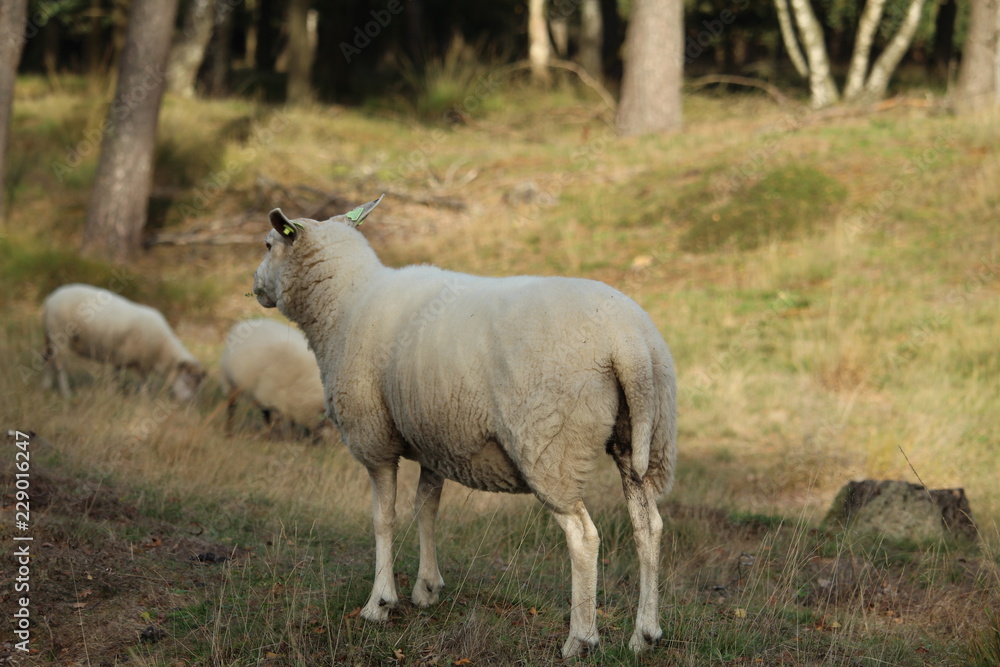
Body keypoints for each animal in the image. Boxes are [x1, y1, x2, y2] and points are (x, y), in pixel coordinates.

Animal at [42, 283, 204, 400]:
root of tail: (50, 299)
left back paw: (46, 386)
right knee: (59, 366)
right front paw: (116, 395)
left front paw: (140, 397)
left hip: (50, 337)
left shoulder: (136, 361)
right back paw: (66, 393)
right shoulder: (125, 358)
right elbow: (124, 379)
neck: (163, 349)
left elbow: (139, 380)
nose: (189, 401)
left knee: (48, 360)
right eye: (188, 380)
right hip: (60, 336)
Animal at [251, 197, 677, 657]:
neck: (345, 304)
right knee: (648, 526)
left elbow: (384, 518)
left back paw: (580, 638)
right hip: (645, 436)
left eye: (269, 244)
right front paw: (427, 587)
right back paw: (644, 634)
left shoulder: (374, 437)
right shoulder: (434, 439)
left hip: (551, 445)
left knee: (583, 537)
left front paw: (380, 602)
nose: (254, 285)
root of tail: (628, 343)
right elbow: (426, 507)